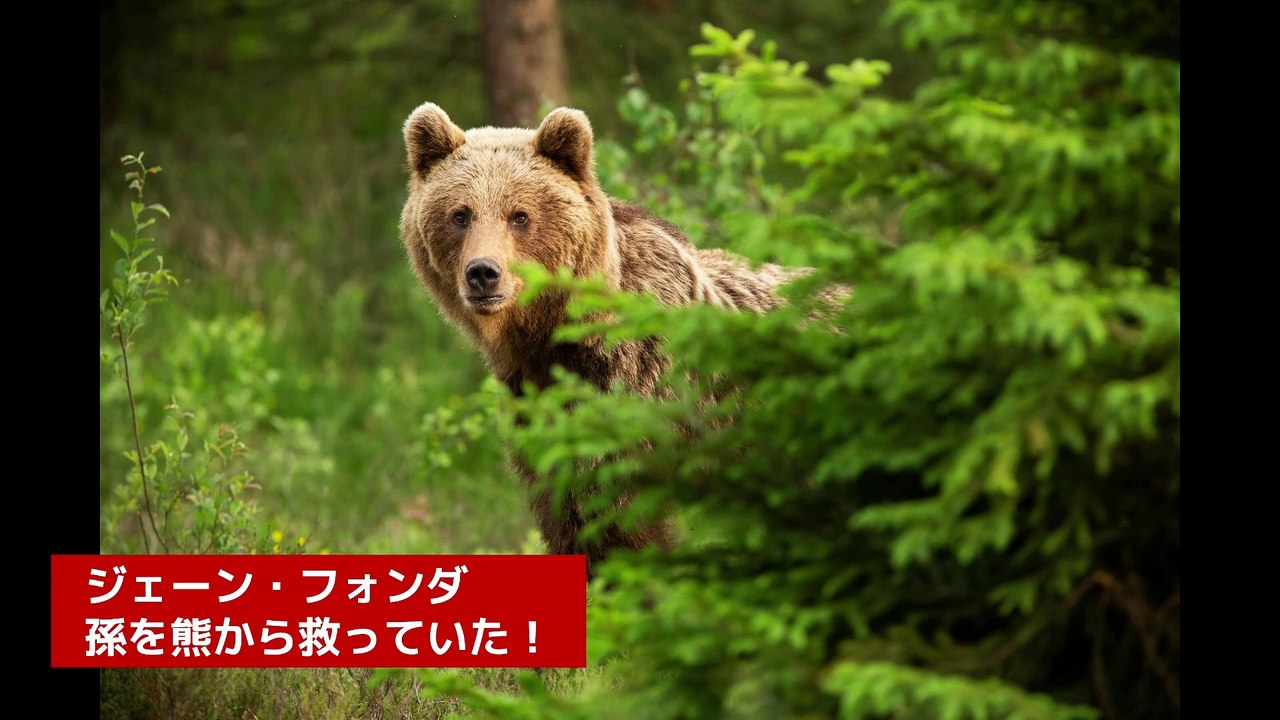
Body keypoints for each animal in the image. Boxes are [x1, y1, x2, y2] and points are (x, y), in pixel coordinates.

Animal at [399, 102, 802, 575]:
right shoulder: (536, 403)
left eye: (520, 215)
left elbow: (614, 517)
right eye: (460, 214)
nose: (483, 273)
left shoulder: (636, 388)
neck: (554, 335)